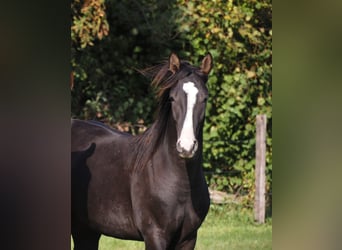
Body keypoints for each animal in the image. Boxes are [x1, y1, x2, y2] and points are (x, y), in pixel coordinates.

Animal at [71, 52, 212, 250]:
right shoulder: (155, 236)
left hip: (86, 231)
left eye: (205, 99)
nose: (186, 147)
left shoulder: (188, 239)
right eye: (172, 98)